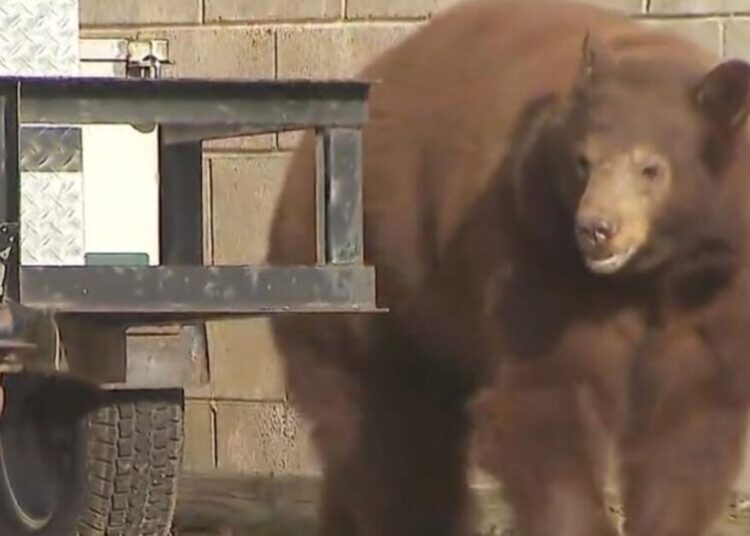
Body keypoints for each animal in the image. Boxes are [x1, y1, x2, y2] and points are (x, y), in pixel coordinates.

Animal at [266, 0, 750, 535]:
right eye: (584, 161)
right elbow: (546, 396)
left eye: (651, 168)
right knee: (387, 435)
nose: (595, 228)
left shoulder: (716, 283)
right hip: (366, 286)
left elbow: (689, 422)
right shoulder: (535, 250)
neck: (646, 276)